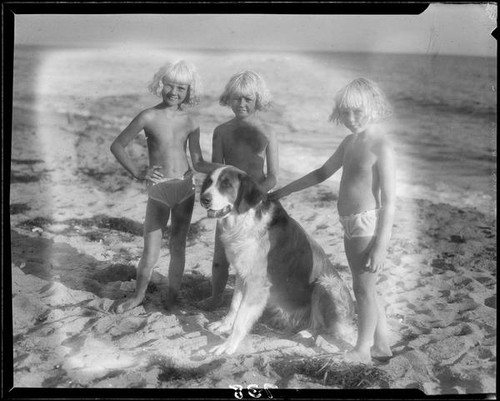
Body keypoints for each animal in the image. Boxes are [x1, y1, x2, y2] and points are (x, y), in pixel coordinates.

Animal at [199, 166, 356, 354]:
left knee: (327, 328)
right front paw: (224, 325)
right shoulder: (242, 274)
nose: (203, 199)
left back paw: (307, 333)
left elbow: (241, 320)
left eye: (226, 184)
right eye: (209, 182)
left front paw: (228, 345)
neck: (244, 219)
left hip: (327, 282)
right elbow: (234, 305)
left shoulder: (257, 284)